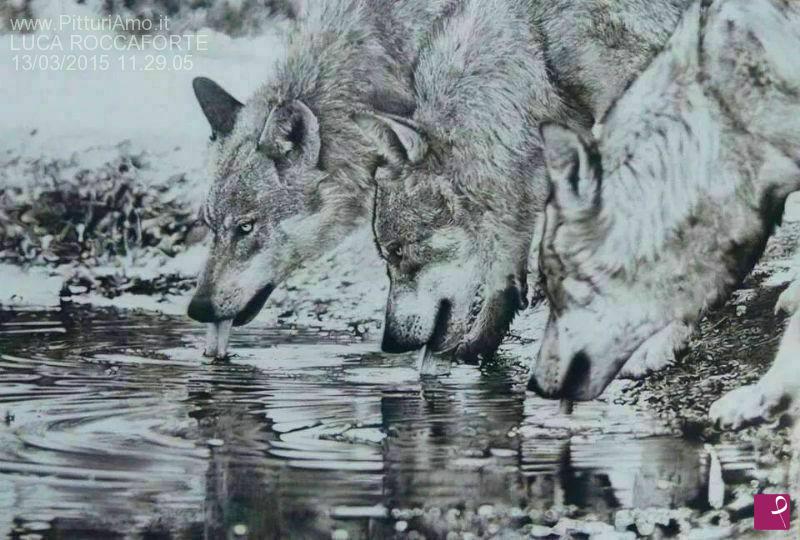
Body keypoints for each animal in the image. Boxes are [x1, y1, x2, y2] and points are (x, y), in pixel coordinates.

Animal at [354, 0, 691, 365]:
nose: (389, 343)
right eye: (387, 256)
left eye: (397, 252)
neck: (538, 56)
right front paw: (477, 346)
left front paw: (660, 338)